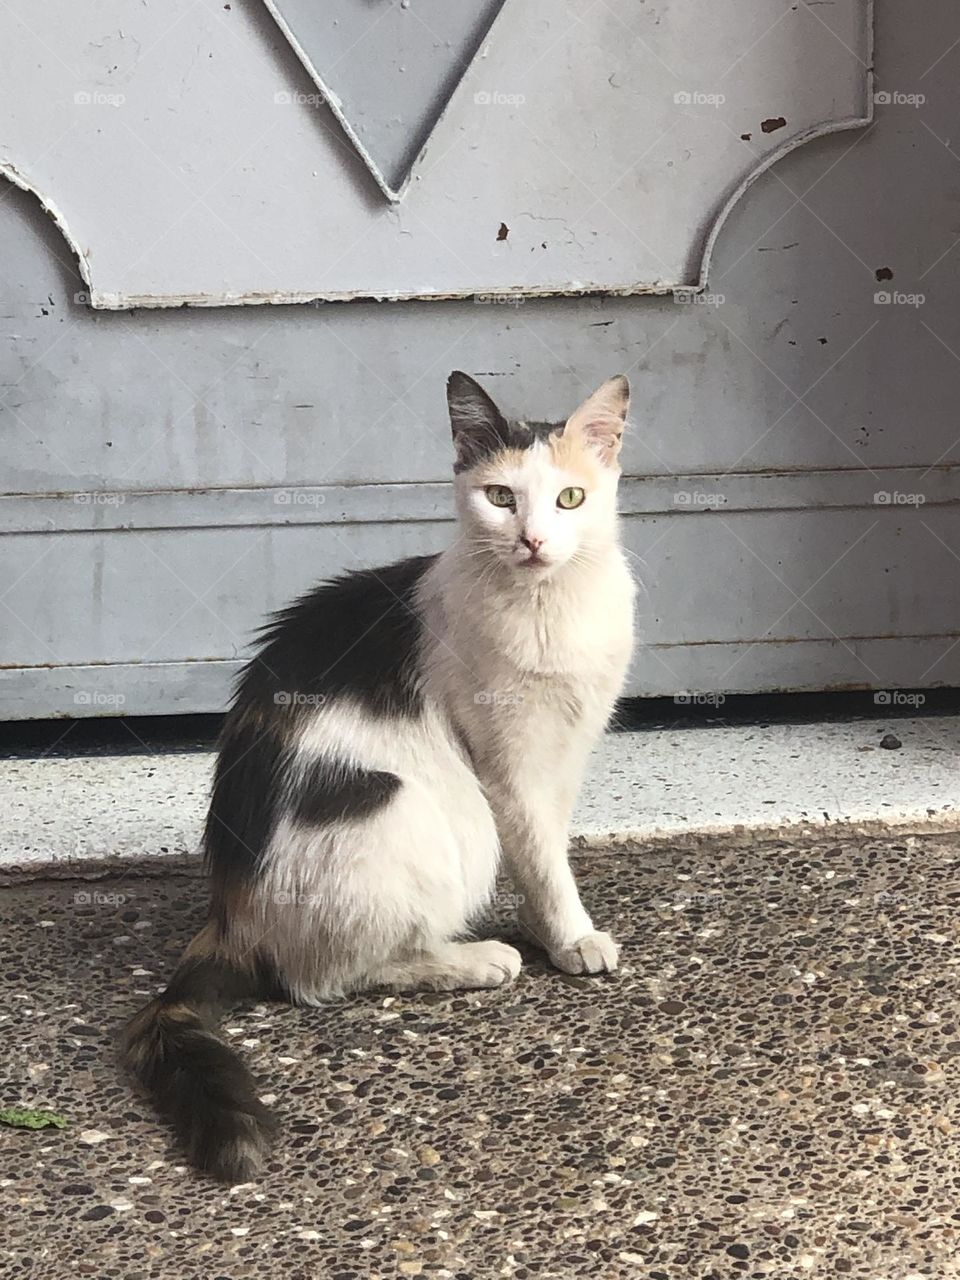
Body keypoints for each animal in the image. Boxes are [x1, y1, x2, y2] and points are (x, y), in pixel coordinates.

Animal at [122, 368, 640, 1177]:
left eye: (570, 498)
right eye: (500, 497)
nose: (531, 540)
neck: (549, 606)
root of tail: (229, 912)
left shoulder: (567, 752)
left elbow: (548, 850)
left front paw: (555, 924)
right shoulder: (508, 770)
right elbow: (539, 854)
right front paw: (570, 938)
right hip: (417, 810)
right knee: (323, 977)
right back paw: (472, 962)